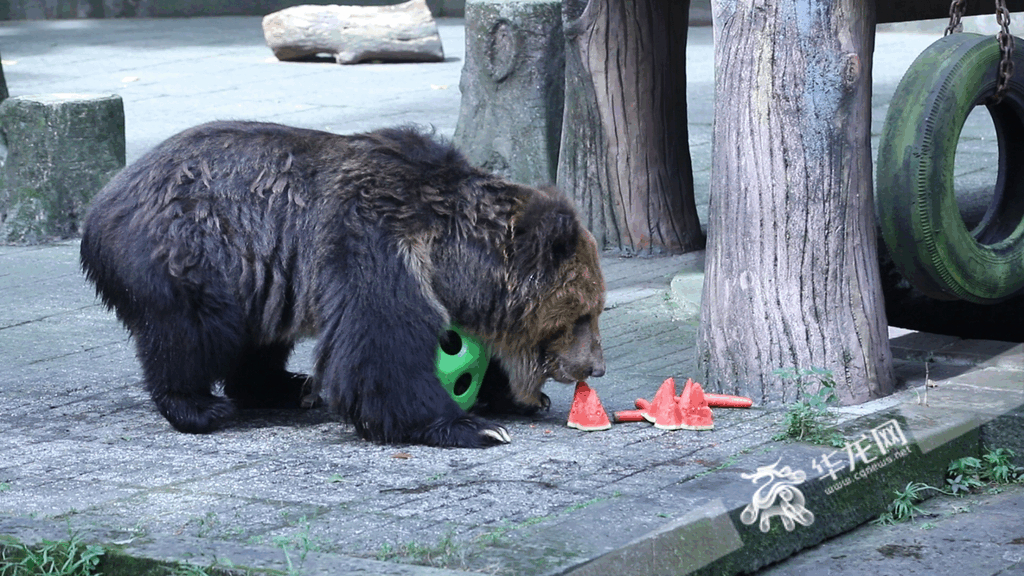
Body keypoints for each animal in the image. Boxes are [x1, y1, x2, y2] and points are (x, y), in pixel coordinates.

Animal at [83, 119, 606, 444]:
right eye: (584, 314)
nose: (595, 366)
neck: (448, 250)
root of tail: (102, 202)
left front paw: (517, 399)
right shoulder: (375, 241)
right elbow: (378, 350)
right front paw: (472, 427)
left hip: (261, 278)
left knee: (259, 339)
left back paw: (288, 387)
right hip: (195, 254)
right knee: (189, 334)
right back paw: (199, 406)